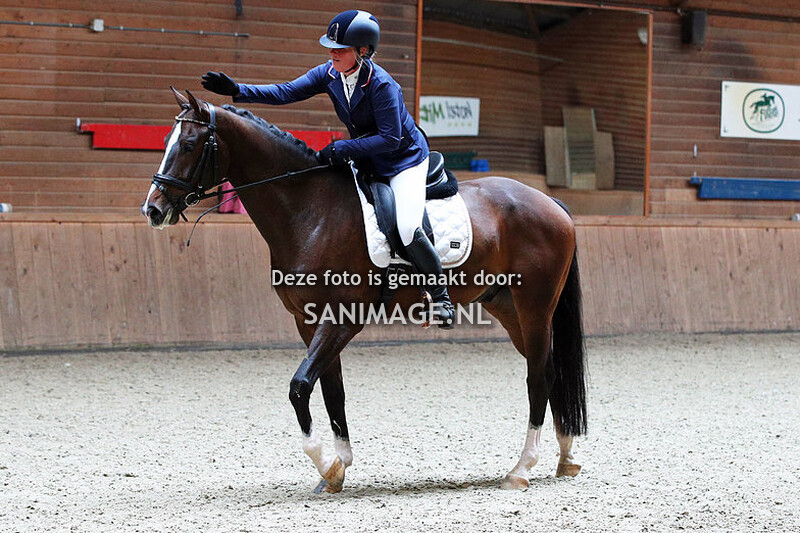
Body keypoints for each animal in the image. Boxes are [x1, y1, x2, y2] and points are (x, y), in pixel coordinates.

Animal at [142, 88, 587, 493]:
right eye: (166, 142)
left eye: (187, 145)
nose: (153, 210)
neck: (311, 211)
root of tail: (550, 201)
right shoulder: (308, 323)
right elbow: (330, 391)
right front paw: (337, 468)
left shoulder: (341, 320)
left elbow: (300, 387)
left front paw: (328, 466)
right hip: (508, 308)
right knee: (549, 370)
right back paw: (565, 456)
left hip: (534, 308)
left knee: (538, 376)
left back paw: (522, 469)